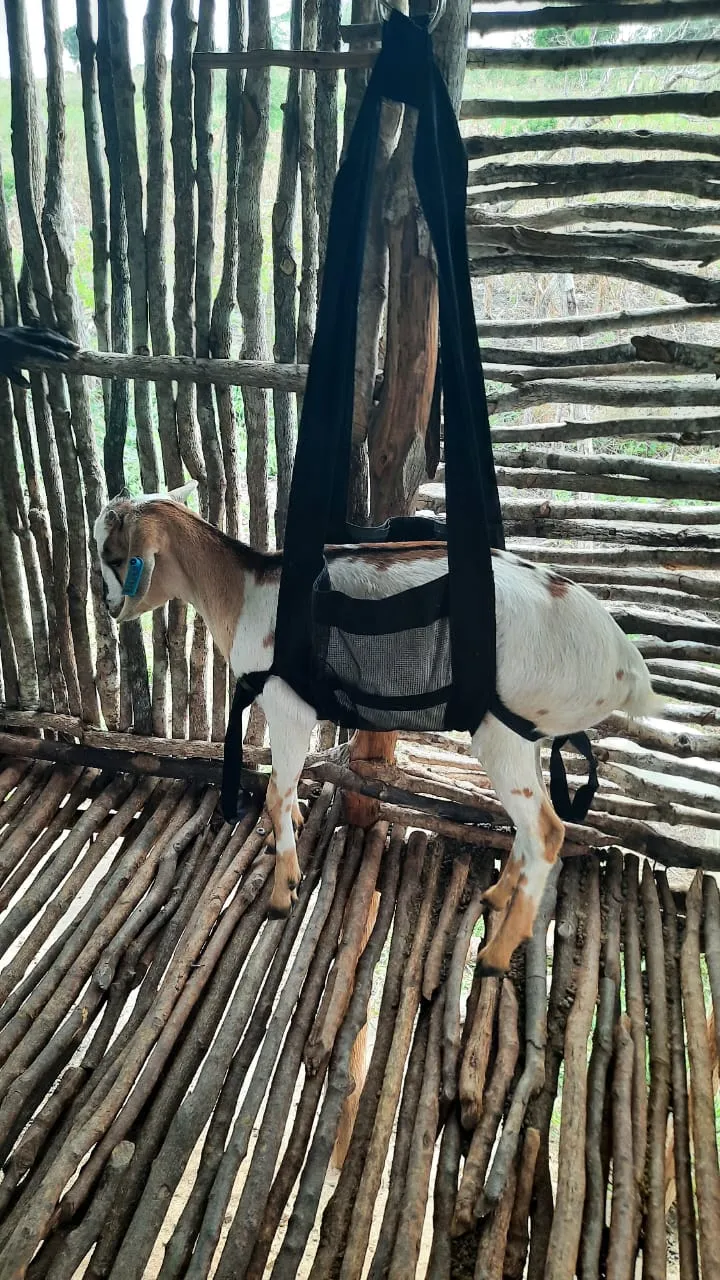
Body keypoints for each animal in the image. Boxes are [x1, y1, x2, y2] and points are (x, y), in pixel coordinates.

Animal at [95, 483, 663, 975]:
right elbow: (288, 790)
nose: (107, 606)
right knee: (532, 824)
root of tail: (624, 663)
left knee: (547, 831)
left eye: (115, 557)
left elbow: (276, 793)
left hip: (502, 734)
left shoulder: (287, 706)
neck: (246, 588)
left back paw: (496, 956)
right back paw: (498, 895)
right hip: (527, 736)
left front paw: (282, 891)